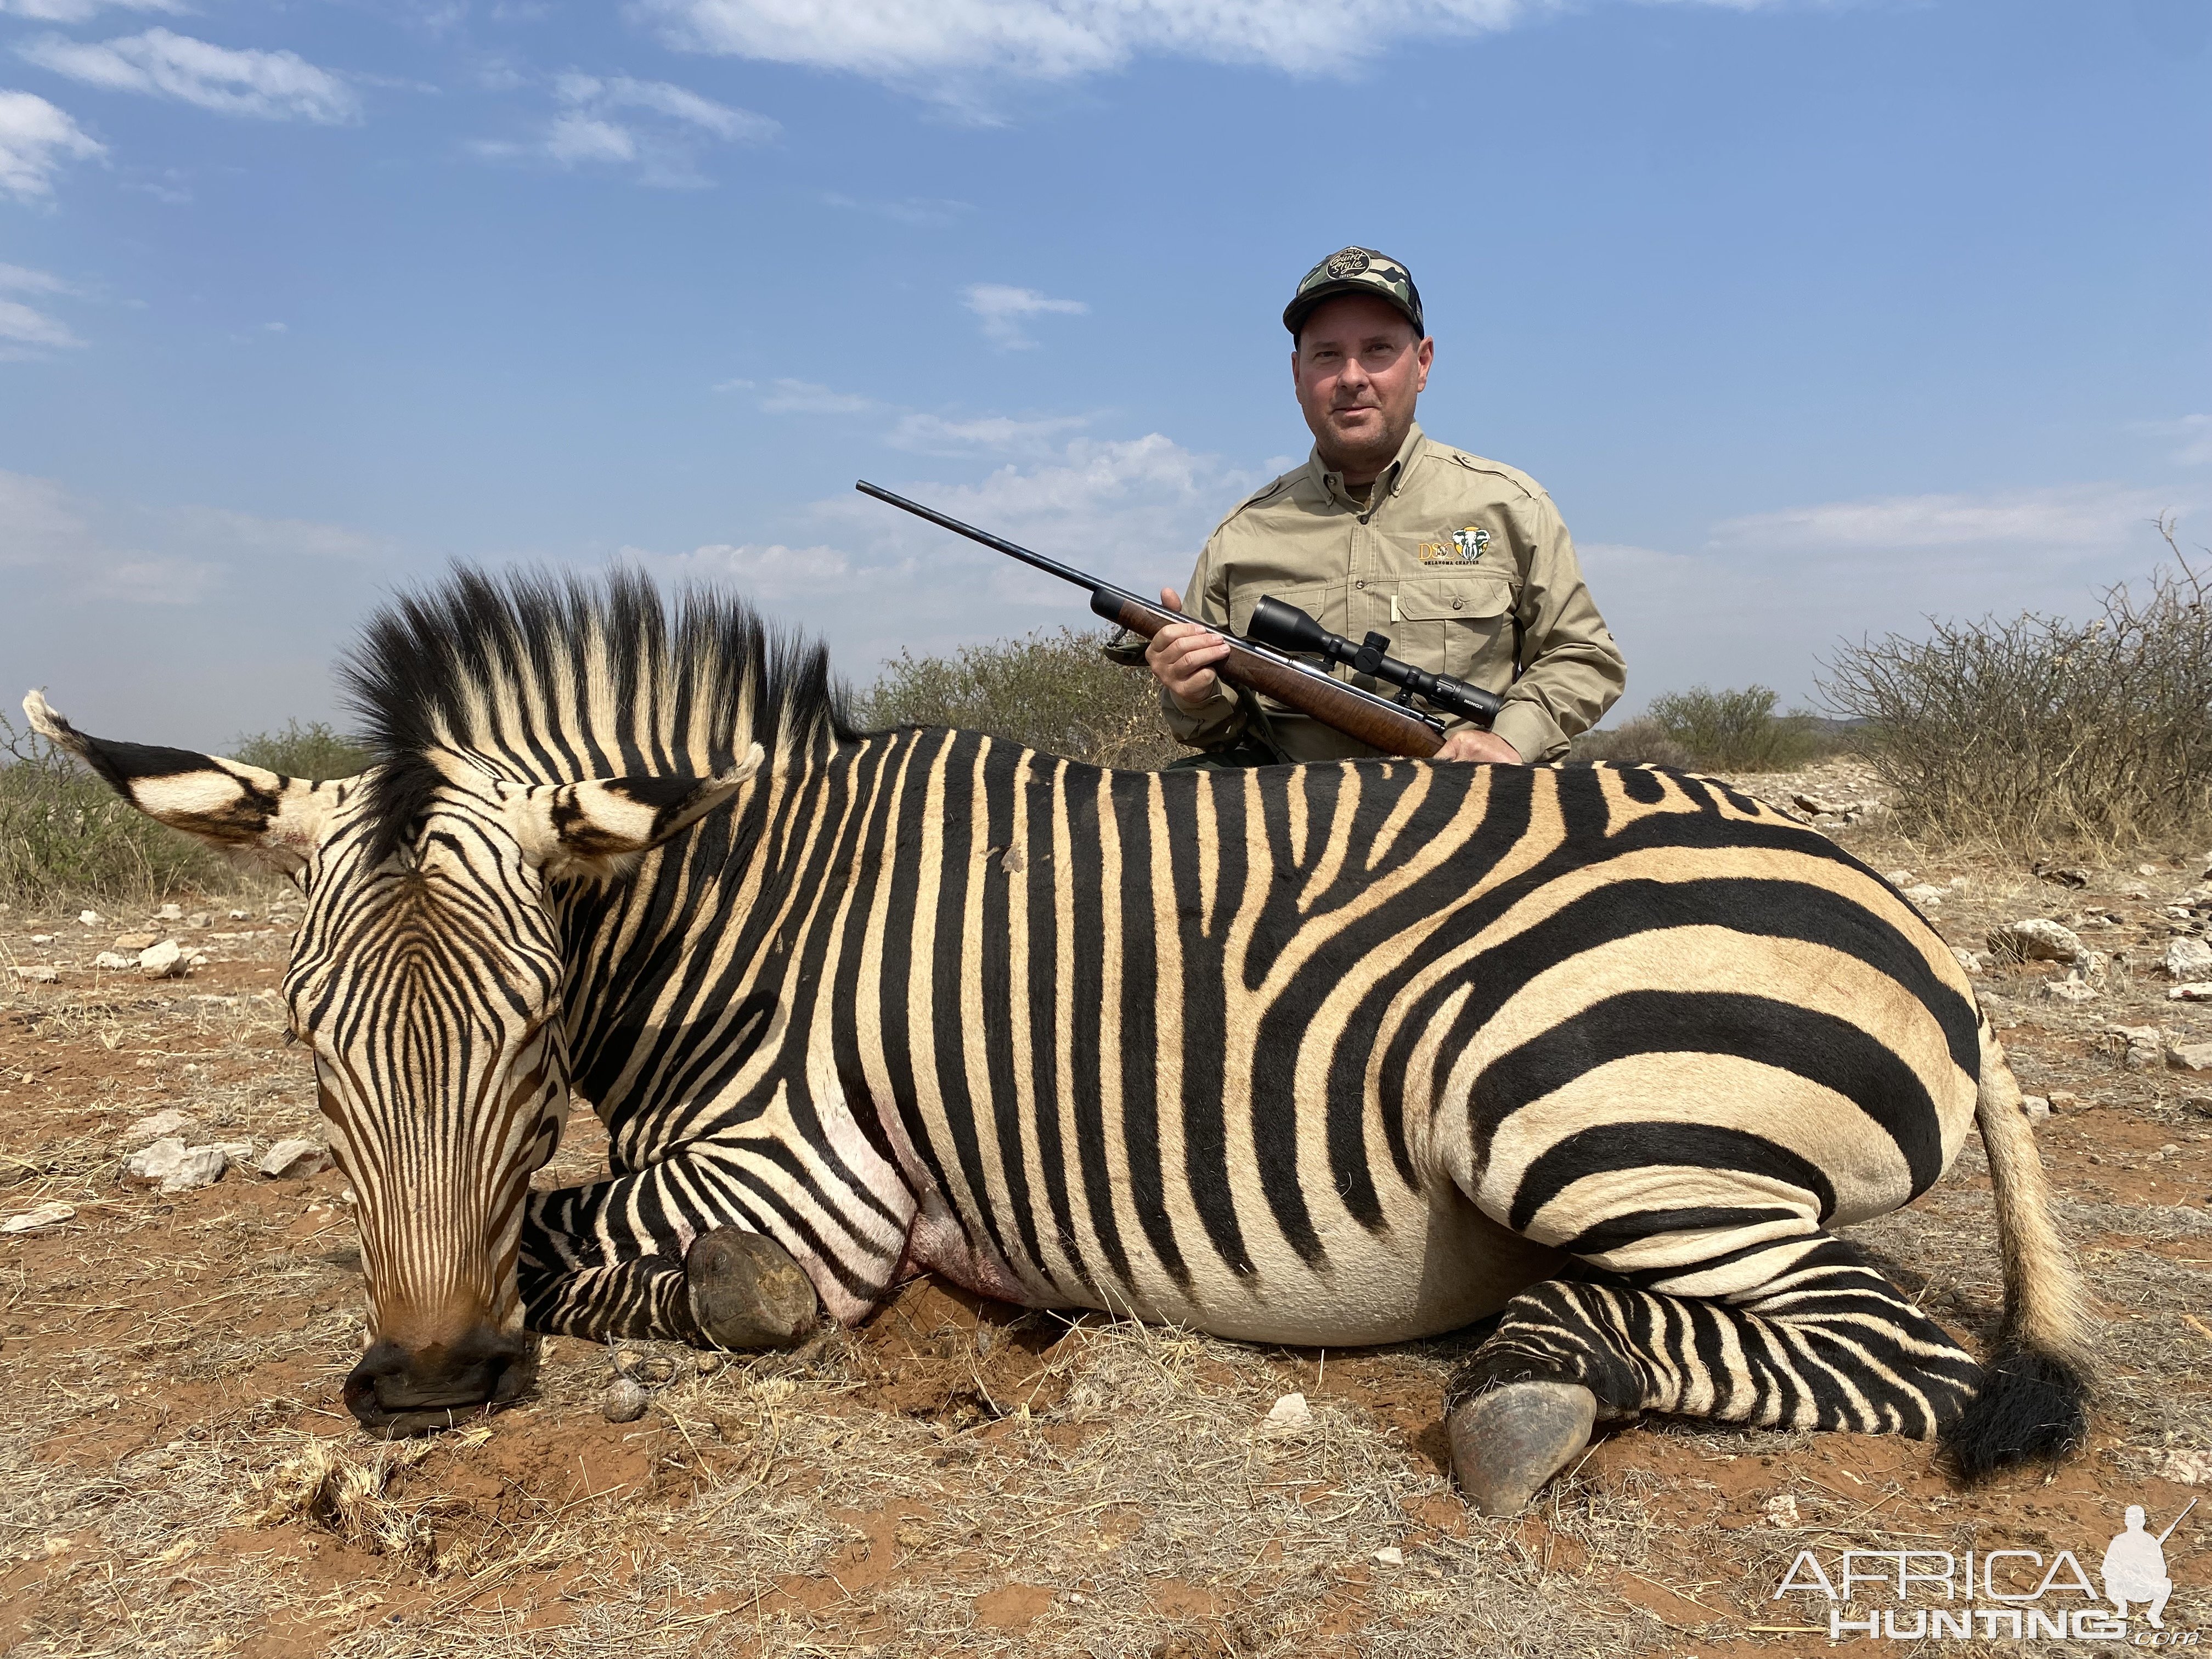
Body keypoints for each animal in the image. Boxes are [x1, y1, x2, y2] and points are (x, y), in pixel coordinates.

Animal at [21, 566, 2088, 1513]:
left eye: (533, 1037)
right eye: (306, 1049)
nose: (426, 1385)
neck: (746, 894)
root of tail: (1913, 923)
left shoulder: (807, 1173)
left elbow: (607, 1244)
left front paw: (697, 1301)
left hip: (1586, 1118)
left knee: (1900, 1348)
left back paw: (1526, 1382)